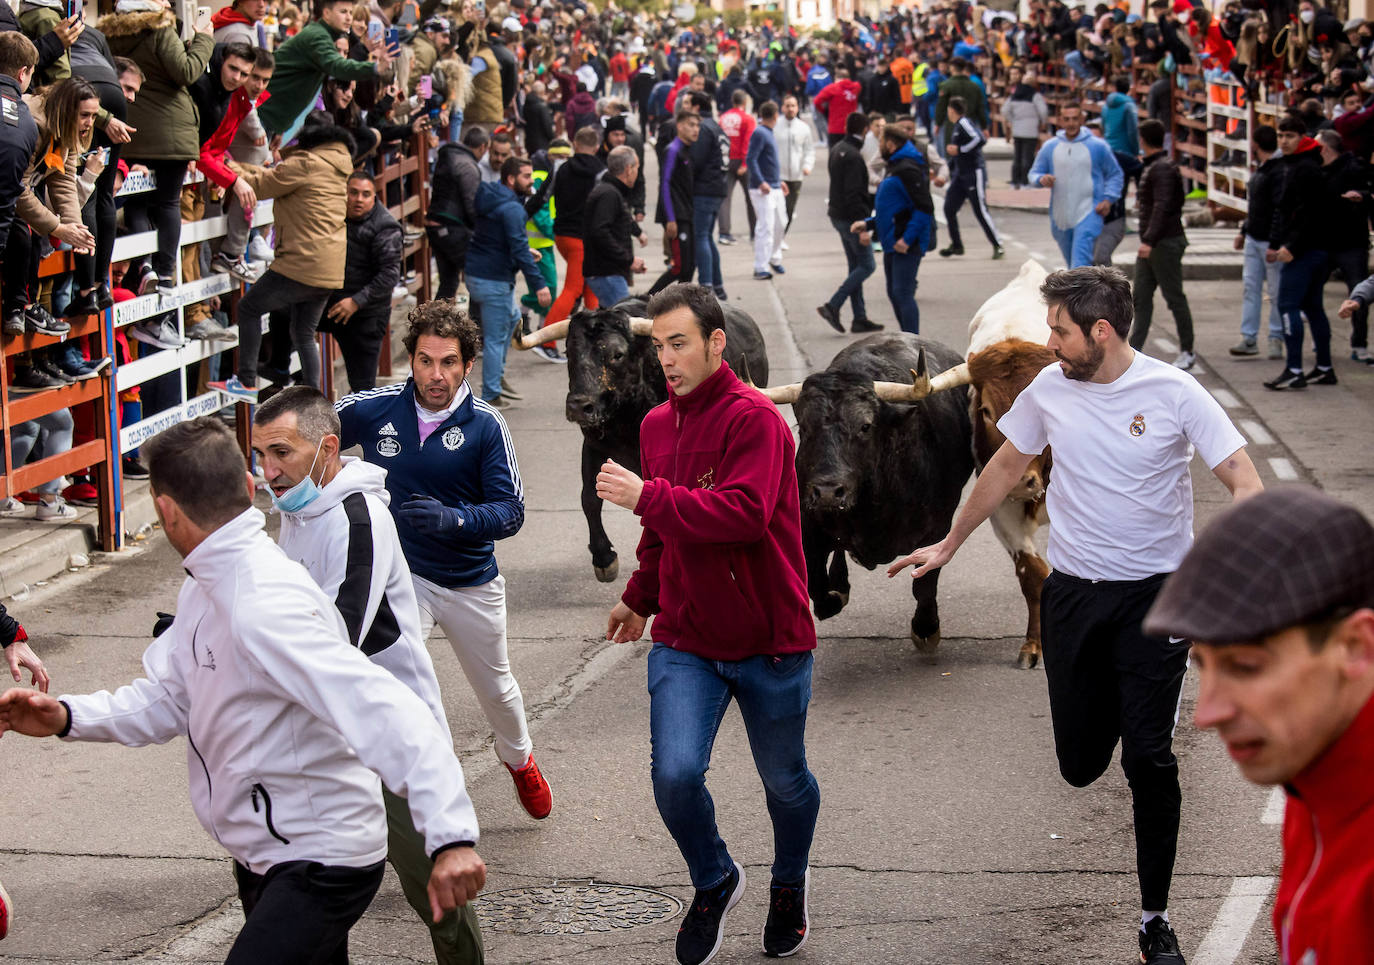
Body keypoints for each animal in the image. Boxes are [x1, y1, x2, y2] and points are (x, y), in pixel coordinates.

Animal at [560, 302, 774, 582]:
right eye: (568, 351)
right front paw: (604, 558)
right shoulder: (594, 445)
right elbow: (589, 498)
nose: (578, 406)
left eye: (617, 354)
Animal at [796, 336, 978, 654]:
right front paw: (835, 596)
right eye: (803, 428)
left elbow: (925, 584)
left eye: (865, 426)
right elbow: (815, 583)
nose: (828, 492)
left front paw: (926, 627)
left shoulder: (938, 529)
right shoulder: (810, 526)